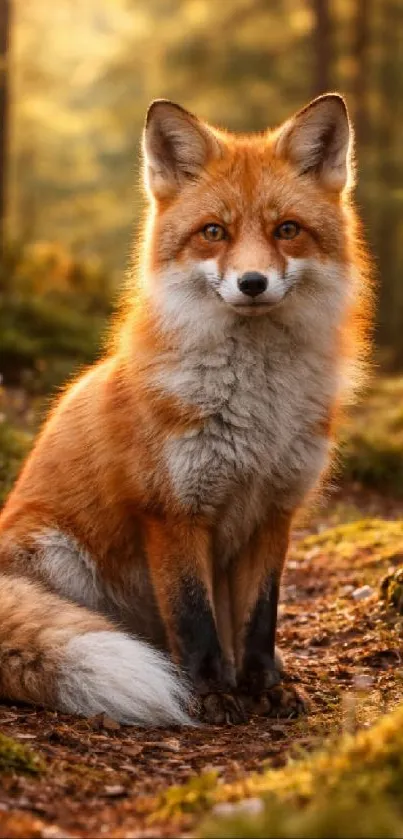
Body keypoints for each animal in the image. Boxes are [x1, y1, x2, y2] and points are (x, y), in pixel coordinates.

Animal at [0, 93, 371, 726]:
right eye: (213, 233)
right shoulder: (173, 512)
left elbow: (259, 621)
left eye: (287, 231)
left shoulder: (274, 511)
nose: (253, 282)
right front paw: (212, 694)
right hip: (61, 558)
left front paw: (262, 687)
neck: (258, 413)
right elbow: (194, 620)